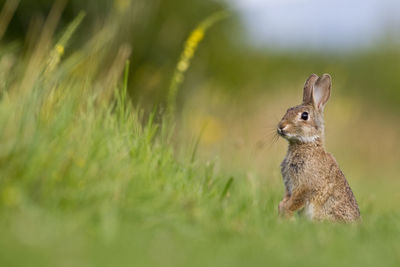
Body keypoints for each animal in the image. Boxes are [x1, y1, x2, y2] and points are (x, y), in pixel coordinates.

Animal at [276, 74, 360, 223]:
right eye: (288, 110)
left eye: (304, 116)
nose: (281, 126)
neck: (306, 144)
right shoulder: (289, 187)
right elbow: (286, 199)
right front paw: (281, 210)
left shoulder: (305, 186)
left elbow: (295, 201)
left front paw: (286, 214)